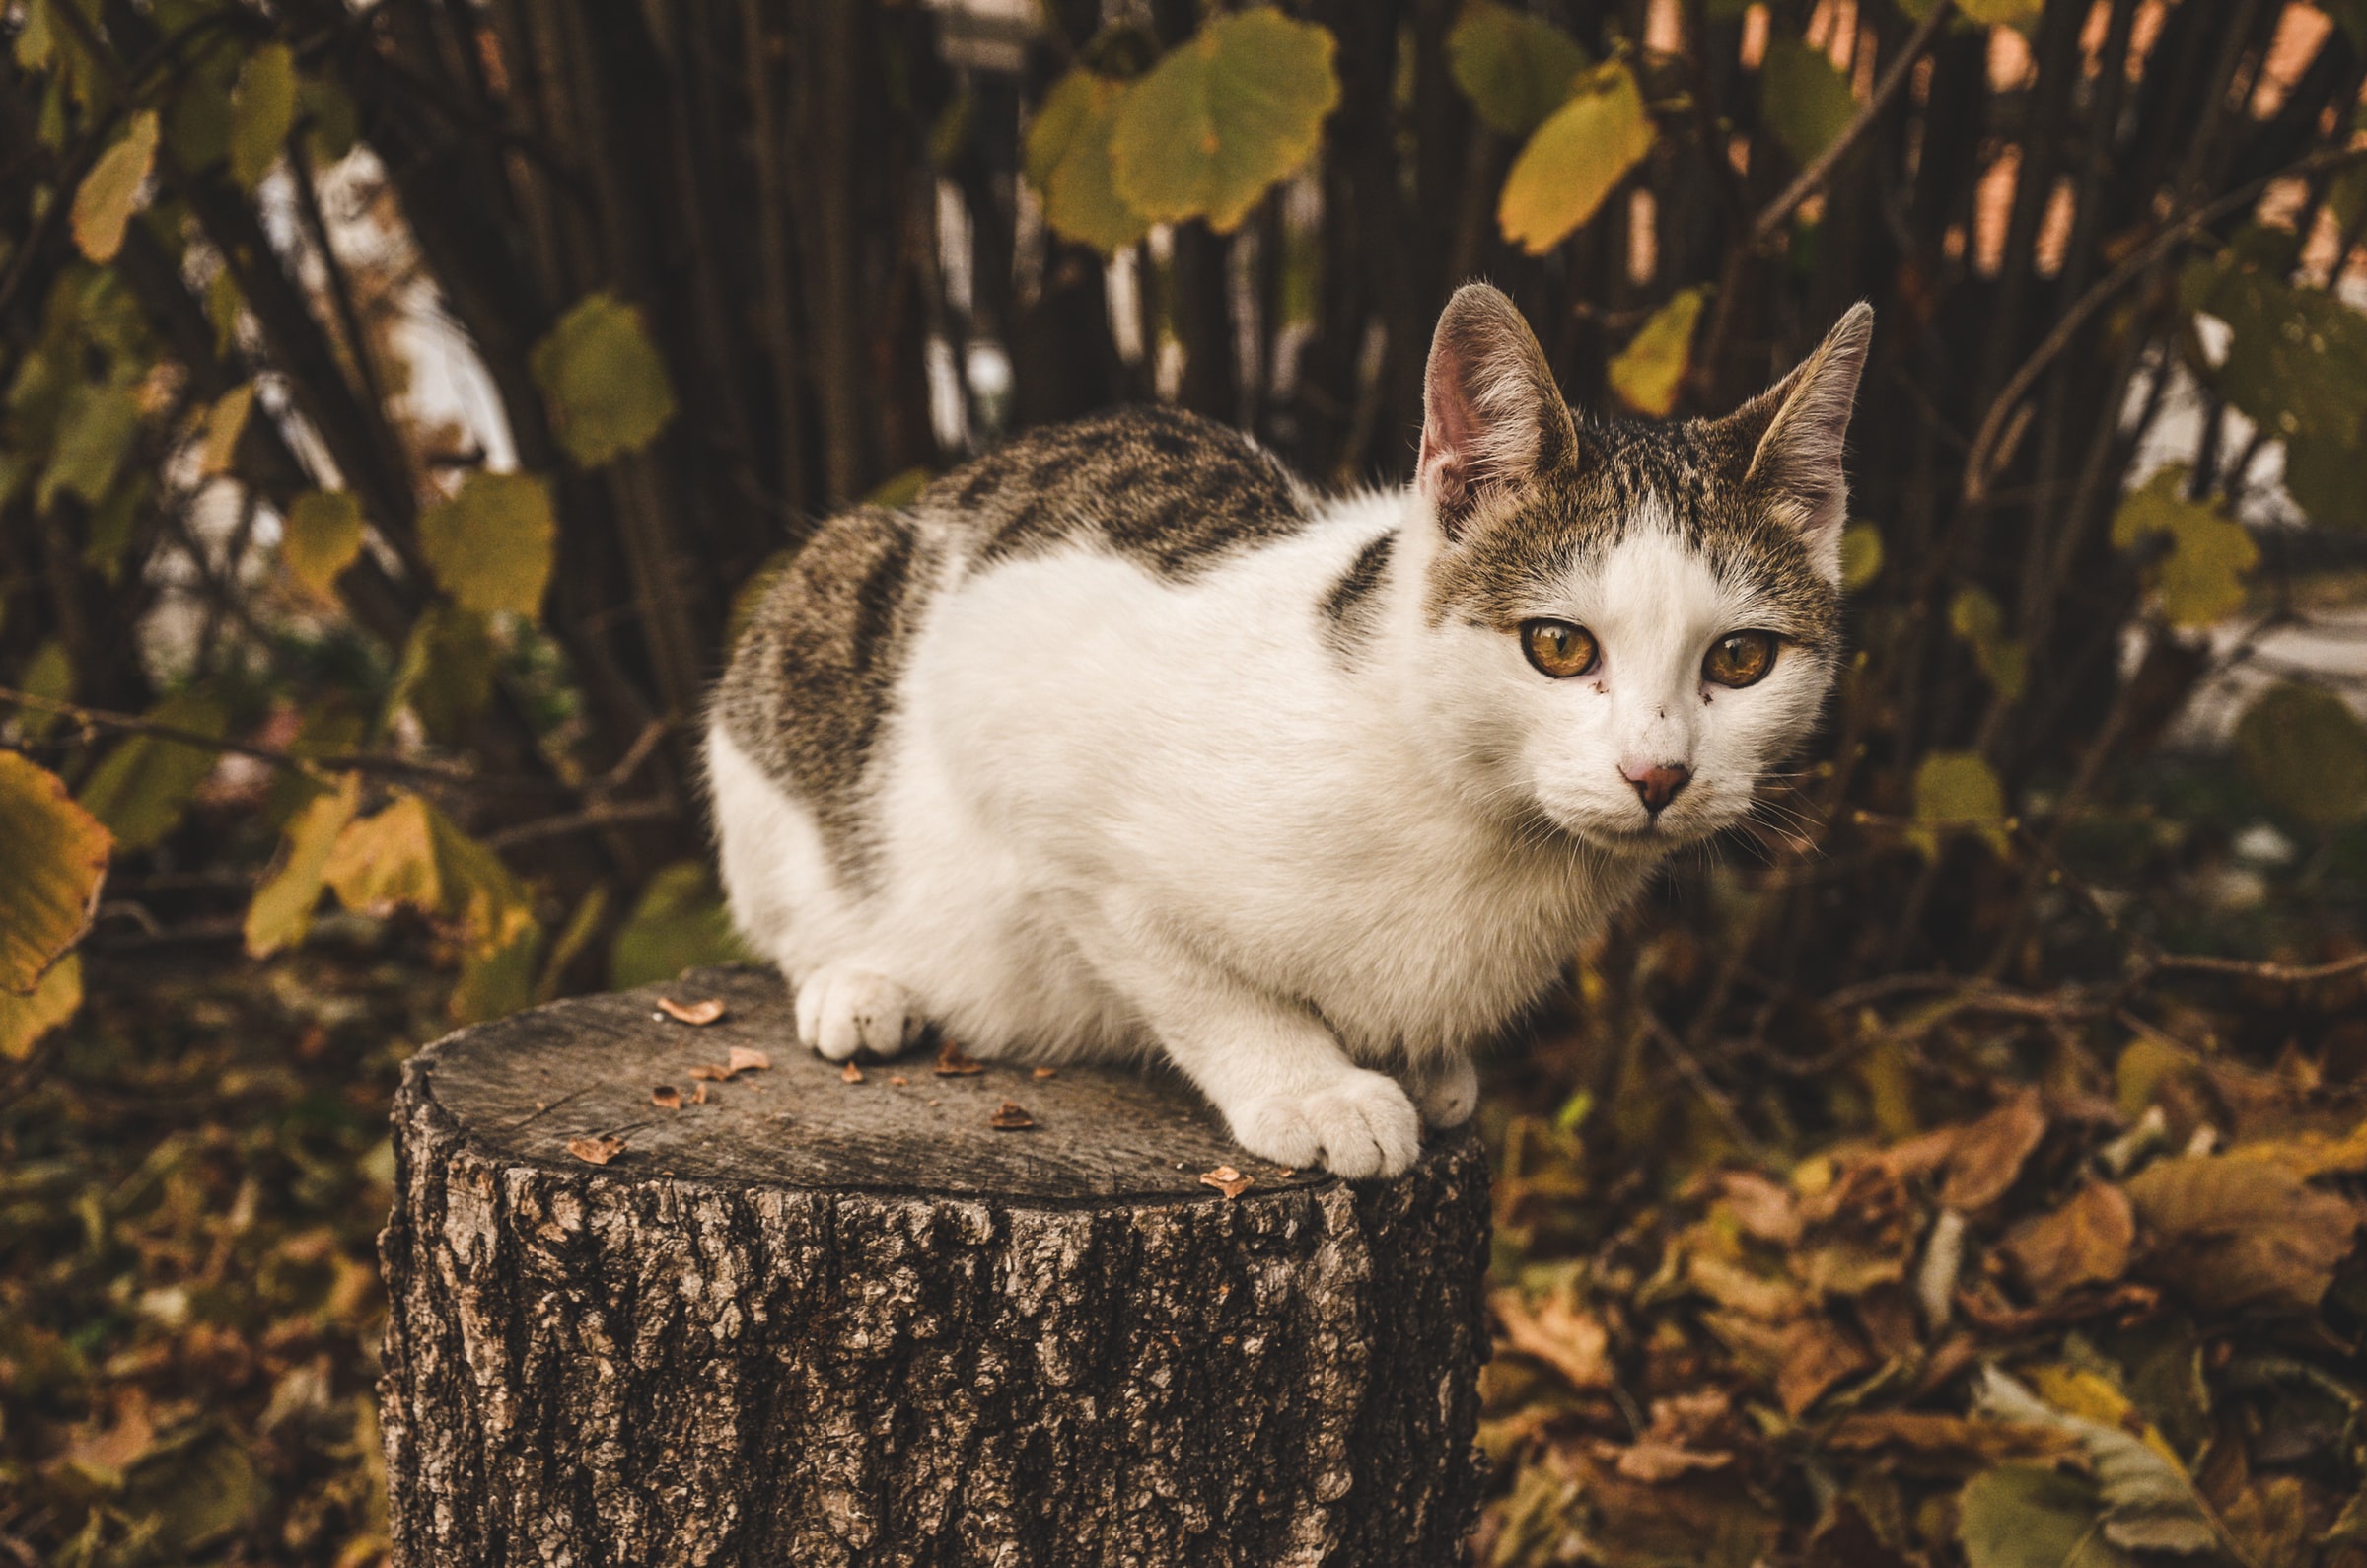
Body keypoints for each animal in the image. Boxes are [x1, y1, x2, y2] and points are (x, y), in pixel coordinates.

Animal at [700, 285, 1865, 1179]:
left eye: (1741, 660)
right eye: (1559, 646)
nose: (1657, 774)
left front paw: (1421, 1061)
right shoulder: (1039, 764)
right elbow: (1194, 978)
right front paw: (1311, 1087)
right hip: (820, 618)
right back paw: (859, 983)